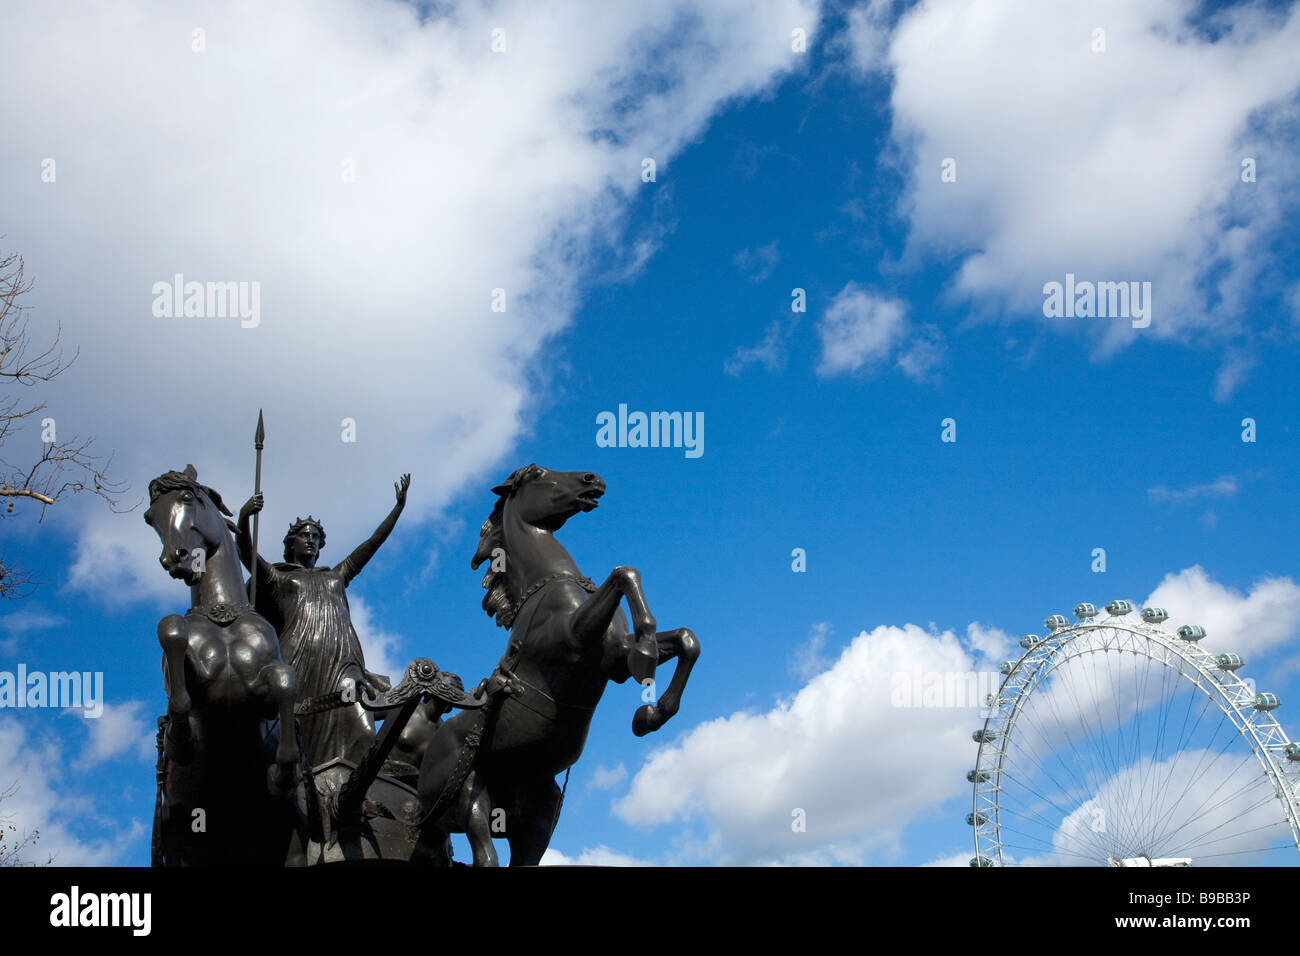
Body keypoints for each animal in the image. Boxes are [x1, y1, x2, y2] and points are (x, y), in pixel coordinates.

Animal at [416, 463, 702, 868]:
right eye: (537, 472)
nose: (593, 479)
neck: (551, 583)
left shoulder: (613, 657)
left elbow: (687, 640)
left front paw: (650, 715)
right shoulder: (577, 639)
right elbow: (625, 573)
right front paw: (646, 656)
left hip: (539, 813)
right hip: (468, 797)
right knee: (485, 856)